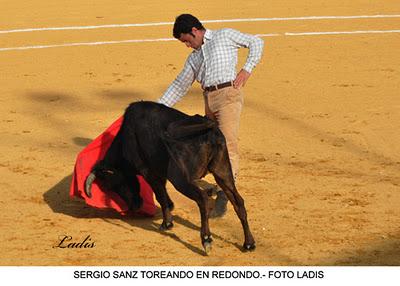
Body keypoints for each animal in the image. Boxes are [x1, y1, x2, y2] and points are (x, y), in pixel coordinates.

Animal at [85, 101, 256, 254]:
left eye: (115, 184)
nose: (134, 206)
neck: (125, 137)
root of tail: (210, 131)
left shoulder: (148, 172)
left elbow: (160, 196)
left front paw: (166, 224)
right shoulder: (159, 173)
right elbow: (163, 194)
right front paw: (170, 213)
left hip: (181, 179)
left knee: (203, 199)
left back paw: (206, 239)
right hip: (222, 172)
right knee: (238, 201)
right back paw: (248, 244)